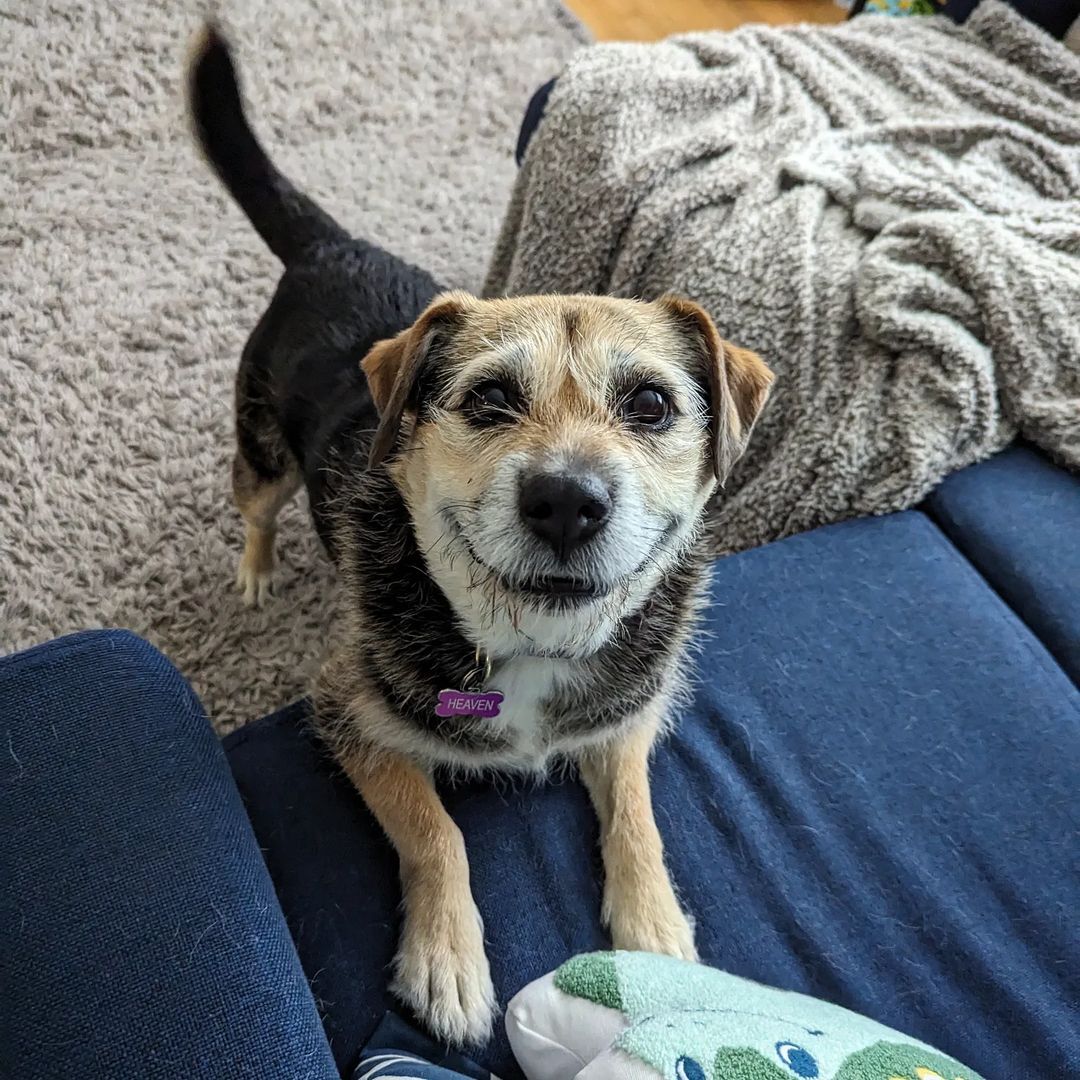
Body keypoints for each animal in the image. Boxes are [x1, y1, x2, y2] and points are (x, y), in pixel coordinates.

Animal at [190, 25, 773, 1049]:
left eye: (652, 404)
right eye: (489, 398)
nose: (567, 501)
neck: (530, 645)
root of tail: (334, 245)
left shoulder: (626, 713)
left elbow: (637, 813)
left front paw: (654, 927)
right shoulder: (345, 715)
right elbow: (438, 831)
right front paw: (448, 960)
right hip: (261, 444)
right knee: (254, 501)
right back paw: (256, 570)